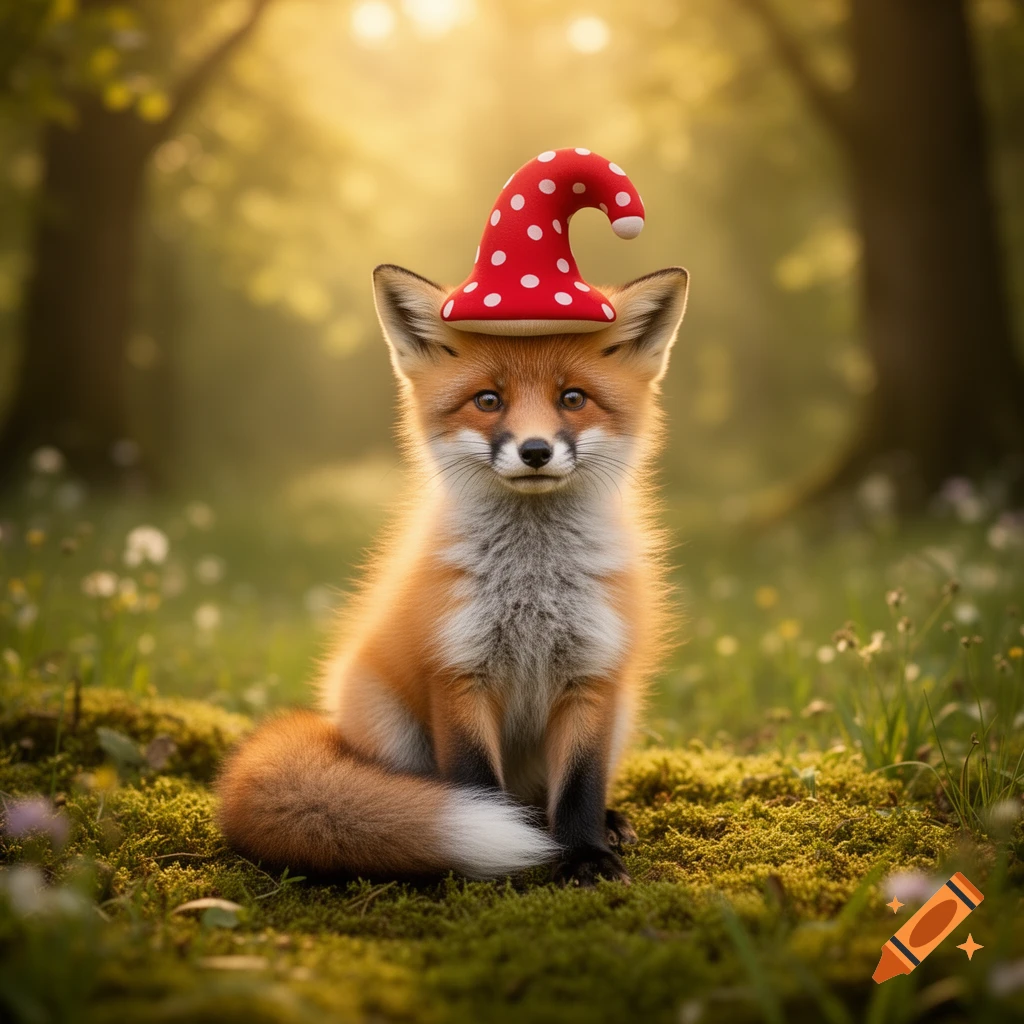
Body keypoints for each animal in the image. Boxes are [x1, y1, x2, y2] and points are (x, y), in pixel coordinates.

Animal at [216, 262, 689, 886]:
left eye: (573, 398)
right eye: (488, 400)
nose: (535, 450)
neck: (532, 587)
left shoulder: (594, 674)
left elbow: (581, 786)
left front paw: (586, 855)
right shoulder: (458, 671)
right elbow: (474, 780)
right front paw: (501, 856)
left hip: (623, 710)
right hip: (386, 721)